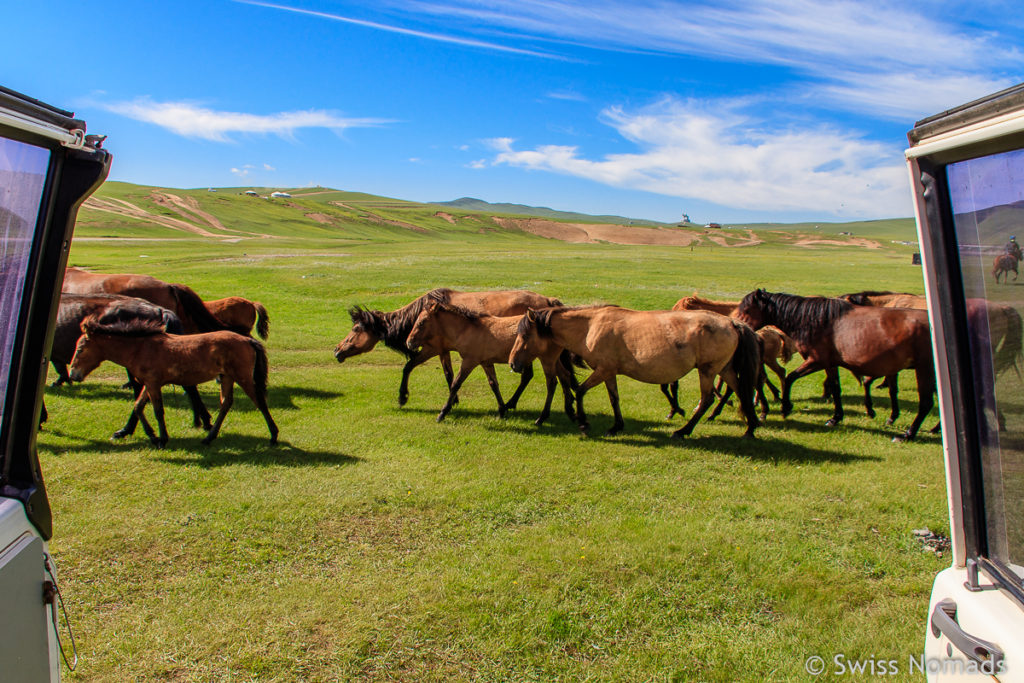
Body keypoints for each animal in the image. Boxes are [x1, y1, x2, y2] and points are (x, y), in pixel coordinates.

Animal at [68, 317, 278, 448]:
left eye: (79, 349)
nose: (73, 375)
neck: (140, 348)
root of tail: (247, 340)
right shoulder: (149, 383)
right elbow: (138, 406)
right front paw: (151, 436)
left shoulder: (153, 383)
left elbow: (158, 411)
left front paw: (161, 439)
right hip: (226, 377)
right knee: (226, 403)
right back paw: (209, 438)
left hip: (242, 377)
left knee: (259, 401)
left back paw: (273, 436)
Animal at [333, 286, 561, 405]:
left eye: (356, 329)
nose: (337, 350)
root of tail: (549, 300)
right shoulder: (443, 350)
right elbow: (449, 374)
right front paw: (454, 399)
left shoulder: (431, 348)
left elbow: (408, 367)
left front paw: (402, 396)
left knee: (527, 375)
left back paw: (511, 404)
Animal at [737, 290, 937, 444]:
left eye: (747, 309)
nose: (739, 324)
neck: (815, 321)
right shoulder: (830, 364)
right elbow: (835, 388)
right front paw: (835, 417)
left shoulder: (817, 360)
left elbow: (790, 377)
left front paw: (786, 407)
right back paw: (933, 429)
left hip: (924, 369)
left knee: (926, 402)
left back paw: (908, 434)